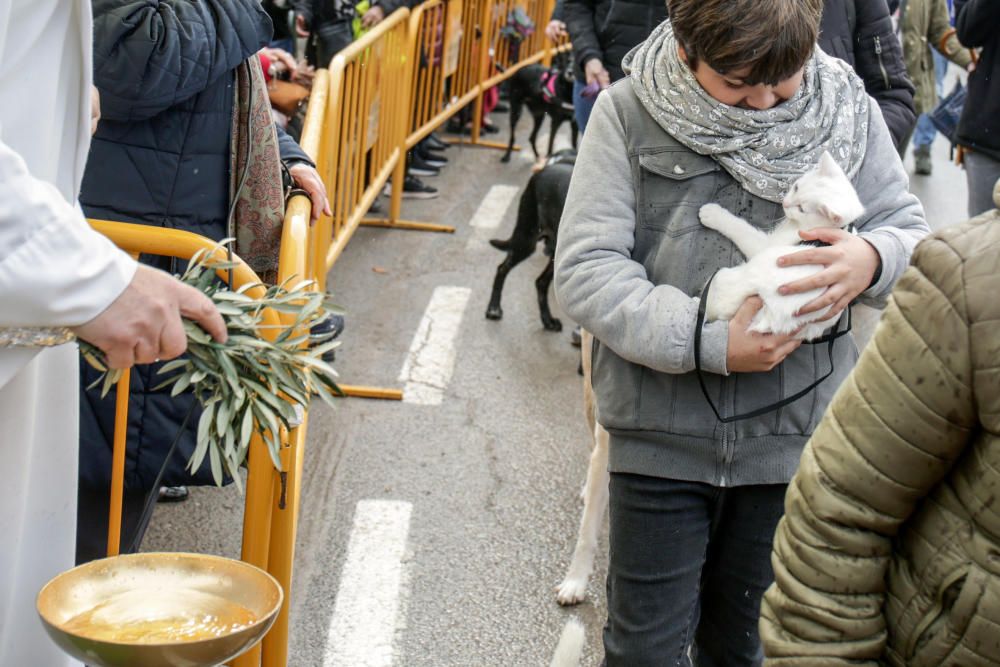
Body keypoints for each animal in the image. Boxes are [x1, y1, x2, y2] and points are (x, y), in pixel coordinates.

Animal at [486, 150, 580, 330]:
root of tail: (544, 169)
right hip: (525, 240)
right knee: (502, 268)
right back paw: (493, 309)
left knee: (540, 282)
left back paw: (547, 320)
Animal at [696, 150, 868, 340]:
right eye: (797, 187)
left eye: (801, 209)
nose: (785, 204)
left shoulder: (764, 245)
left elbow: (739, 228)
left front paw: (712, 214)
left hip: (723, 278)